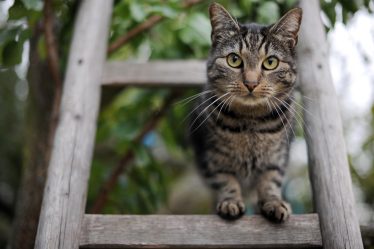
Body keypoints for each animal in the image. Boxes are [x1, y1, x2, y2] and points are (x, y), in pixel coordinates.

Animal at [191, 2, 302, 222]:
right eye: (234, 60)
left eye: (270, 62)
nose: (251, 83)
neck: (251, 121)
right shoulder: (214, 158)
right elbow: (226, 180)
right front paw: (230, 202)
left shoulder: (276, 158)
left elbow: (270, 181)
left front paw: (274, 203)